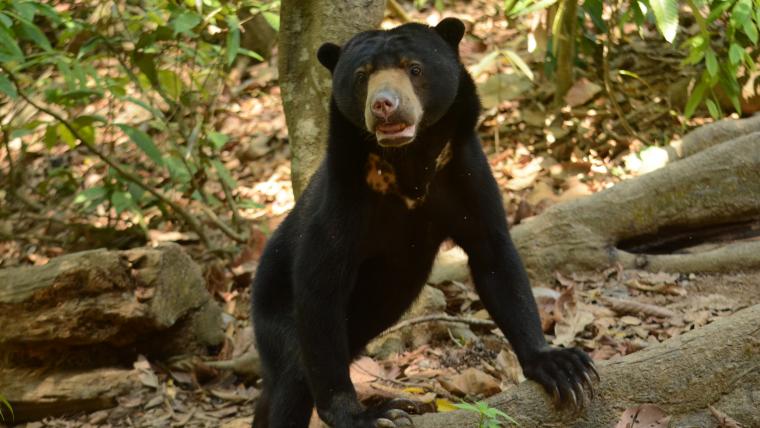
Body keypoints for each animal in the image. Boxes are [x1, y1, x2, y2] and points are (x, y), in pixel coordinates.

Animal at [252, 17, 596, 428]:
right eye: (362, 76)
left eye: (414, 69)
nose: (384, 105)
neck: (409, 160)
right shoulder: (342, 193)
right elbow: (320, 284)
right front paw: (364, 415)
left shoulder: (464, 171)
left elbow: (494, 257)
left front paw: (560, 365)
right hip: (274, 310)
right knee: (291, 375)